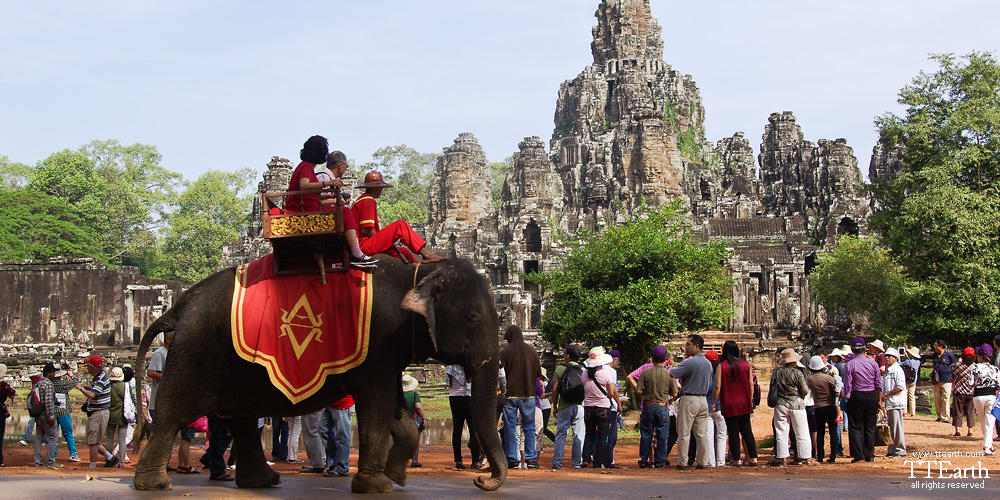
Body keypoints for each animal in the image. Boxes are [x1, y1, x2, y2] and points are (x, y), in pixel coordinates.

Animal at [133, 258, 508, 492]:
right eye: (473, 316)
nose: (482, 481)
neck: (418, 273)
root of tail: (183, 301)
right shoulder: (376, 345)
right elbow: (376, 405)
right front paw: (377, 485)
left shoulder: (387, 356)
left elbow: (397, 413)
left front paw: (396, 475)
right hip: (195, 350)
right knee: (171, 414)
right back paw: (154, 483)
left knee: (240, 418)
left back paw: (261, 481)